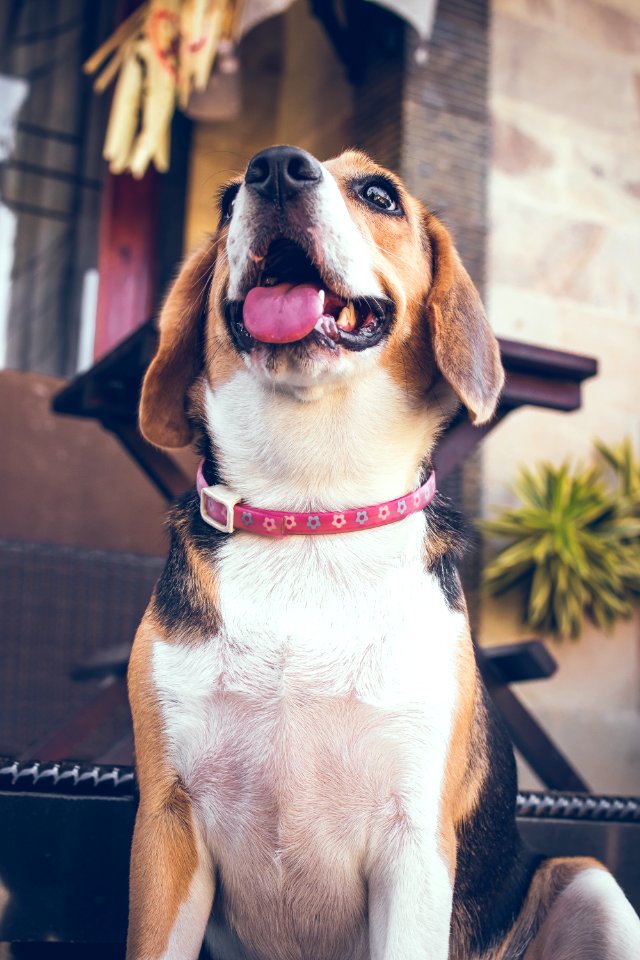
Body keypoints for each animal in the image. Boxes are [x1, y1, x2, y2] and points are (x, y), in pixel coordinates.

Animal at [126, 144, 640, 960]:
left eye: (378, 194)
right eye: (227, 201)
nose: (275, 169)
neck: (312, 514)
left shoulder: (414, 842)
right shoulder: (167, 826)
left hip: (590, 880)